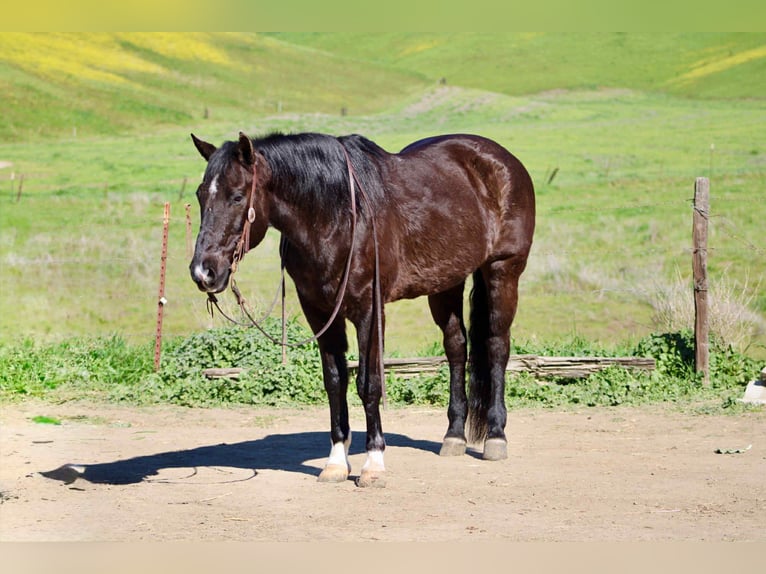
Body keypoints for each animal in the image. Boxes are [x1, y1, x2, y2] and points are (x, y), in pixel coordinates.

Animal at [189, 131, 535, 487]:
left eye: (237, 196)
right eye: (201, 195)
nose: (204, 272)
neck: (335, 217)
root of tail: (500, 158)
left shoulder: (369, 311)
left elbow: (369, 384)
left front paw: (373, 464)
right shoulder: (319, 313)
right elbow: (335, 382)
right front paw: (336, 463)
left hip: (503, 272)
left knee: (496, 346)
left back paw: (496, 436)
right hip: (446, 283)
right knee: (456, 348)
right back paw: (453, 435)